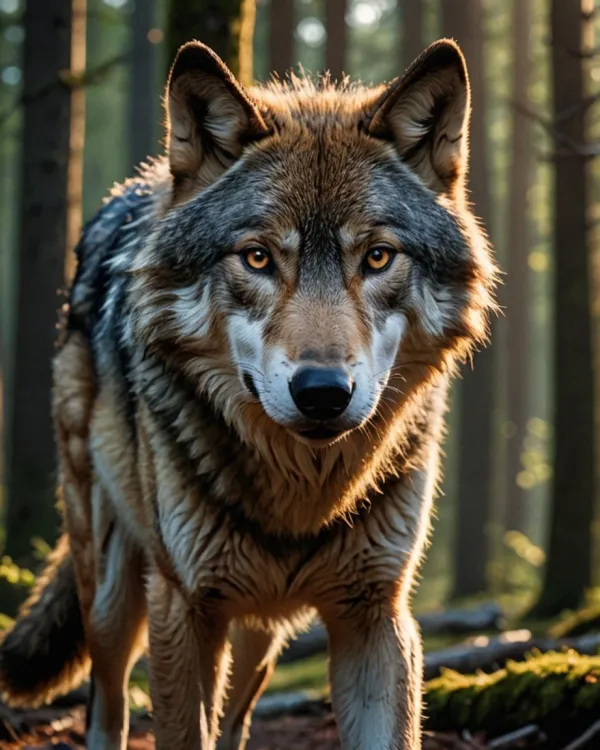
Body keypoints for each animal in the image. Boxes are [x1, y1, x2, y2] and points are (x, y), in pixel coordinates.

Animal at [0, 38, 496, 750]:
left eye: (377, 257)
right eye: (258, 257)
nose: (323, 393)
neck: (301, 497)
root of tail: (137, 188)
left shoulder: (375, 613)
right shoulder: (184, 607)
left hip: (263, 627)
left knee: (235, 714)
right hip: (116, 589)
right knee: (107, 700)